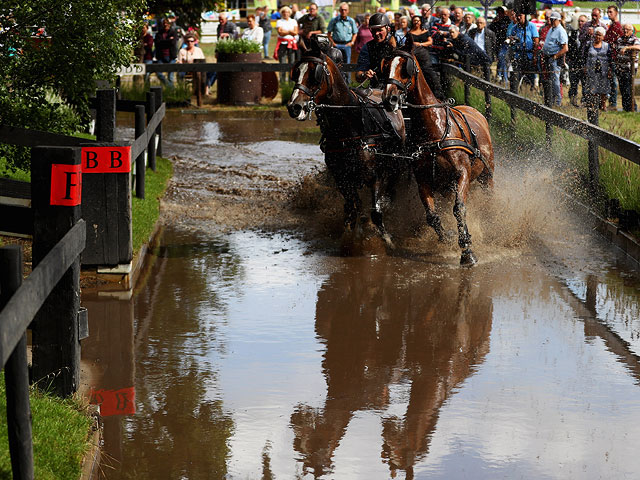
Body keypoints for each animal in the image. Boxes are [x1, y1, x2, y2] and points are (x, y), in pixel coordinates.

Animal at [286, 38, 404, 248]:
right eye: (296, 72)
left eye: (315, 74)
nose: (294, 107)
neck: (350, 125)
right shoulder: (342, 178)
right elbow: (352, 208)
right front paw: (351, 235)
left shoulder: (375, 176)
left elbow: (375, 211)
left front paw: (387, 240)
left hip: (395, 167)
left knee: (390, 191)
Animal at [380, 38, 496, 266]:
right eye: (385, 64)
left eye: (405, 66)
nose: (390, 99)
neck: (435, 129)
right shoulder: (423, 178)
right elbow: (432, 216)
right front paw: (448, 237)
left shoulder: (462, 173)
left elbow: (459, 209)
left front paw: (467, 251)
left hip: (486, 176)